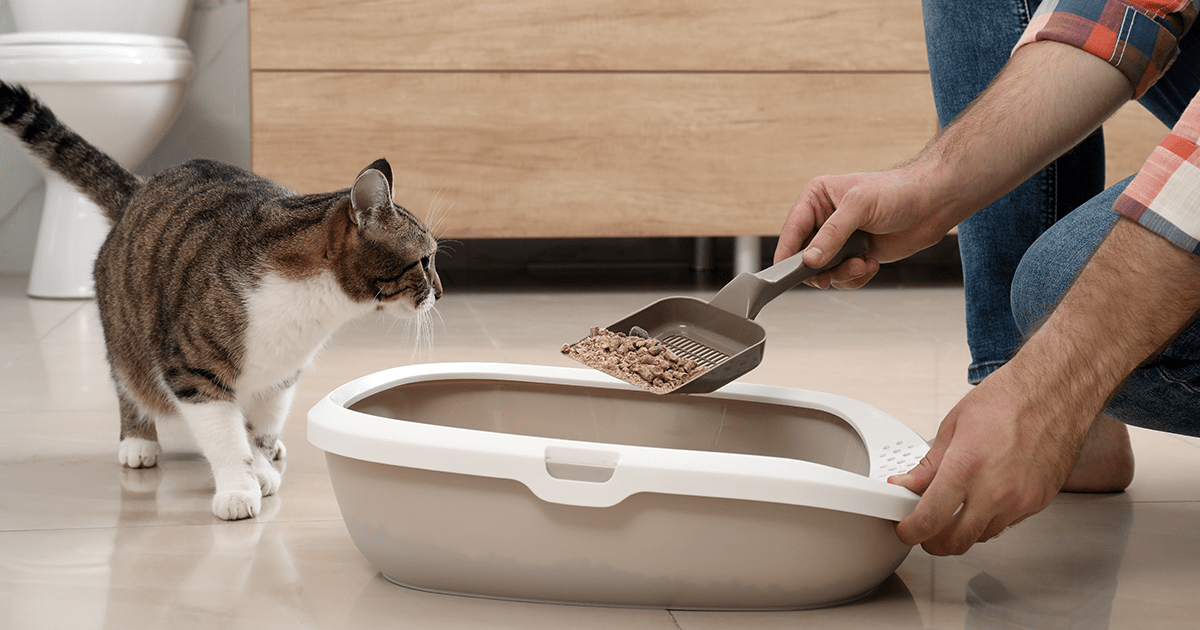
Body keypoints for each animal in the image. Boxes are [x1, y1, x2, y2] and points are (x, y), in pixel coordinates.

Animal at [1, 79, 441, 520]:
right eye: (423, 260)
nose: (439, 291)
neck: (311, 309)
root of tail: (138, 190)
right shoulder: (194, 370)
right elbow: (226, 438)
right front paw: (238, 489)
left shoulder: (280, 378)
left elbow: (259, 431)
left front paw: (261, 469)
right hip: (126, 332)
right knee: (128, 384)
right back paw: (138, 441)